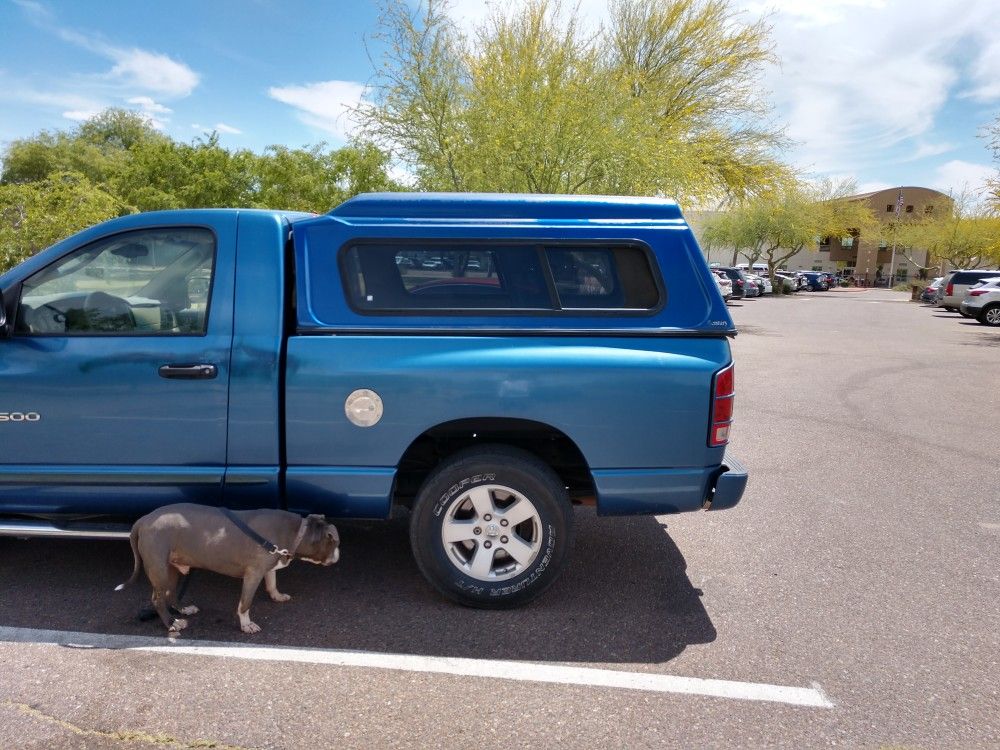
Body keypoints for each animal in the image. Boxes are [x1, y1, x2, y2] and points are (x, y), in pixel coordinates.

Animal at [117, 506, 340, 636]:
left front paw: (277, 596)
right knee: (157, 598)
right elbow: (245, 603)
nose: (339, 555)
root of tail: (143, 520)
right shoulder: (253, 574)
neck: (297, 532)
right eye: (336, 542)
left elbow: (272, 581)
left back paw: (184, 609)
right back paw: (172, 623)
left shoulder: (267, 565)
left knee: (170, 593)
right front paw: (246, 625)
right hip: (159, 567)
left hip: (172, 566)